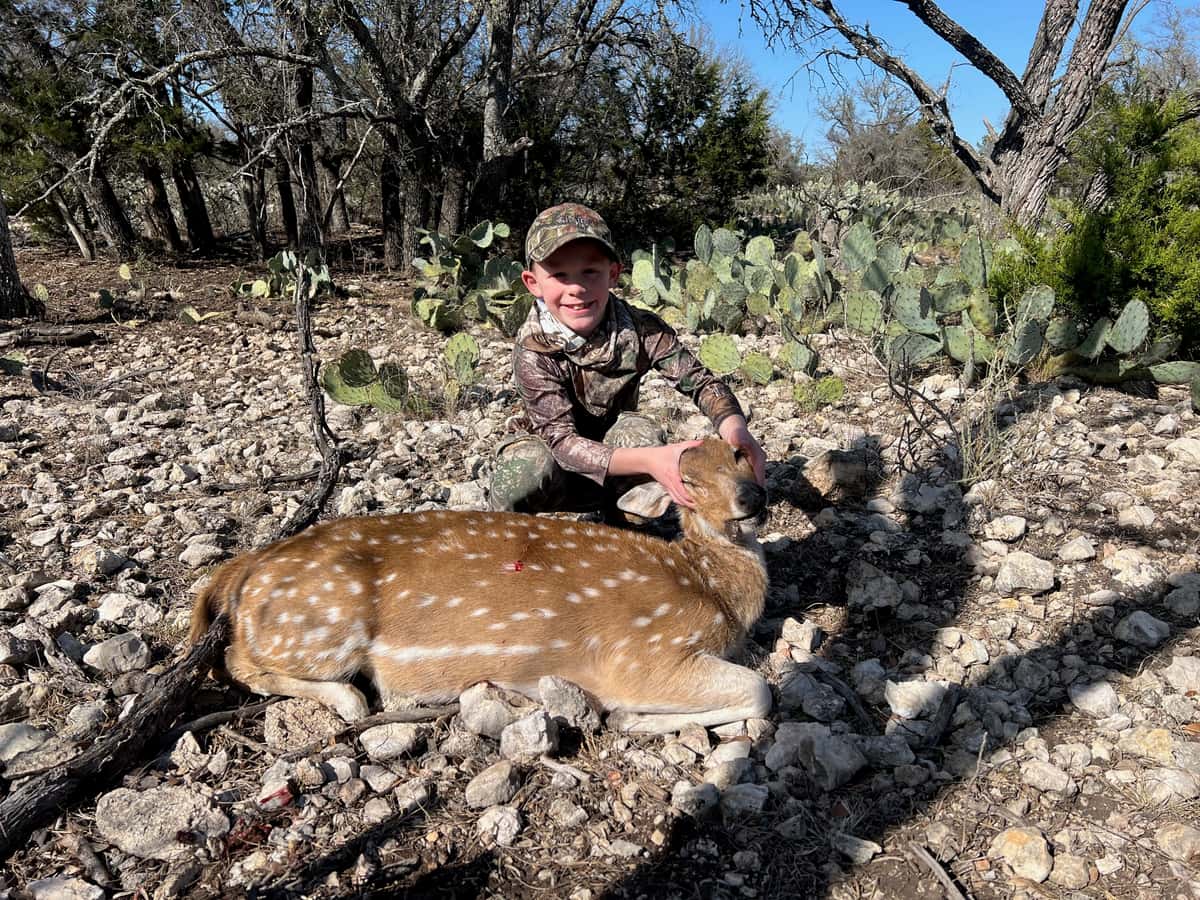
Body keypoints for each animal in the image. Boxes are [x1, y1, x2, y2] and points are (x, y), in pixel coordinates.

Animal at [189, 438, 771, 733]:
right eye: (686, 482)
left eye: (739, 455)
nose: (751, 499)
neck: (714, 594)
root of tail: (240, 570)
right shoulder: (640, 654)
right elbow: (761, 690)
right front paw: (630, 718)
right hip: (318, 629)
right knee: (237, 662)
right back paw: (351, 702)